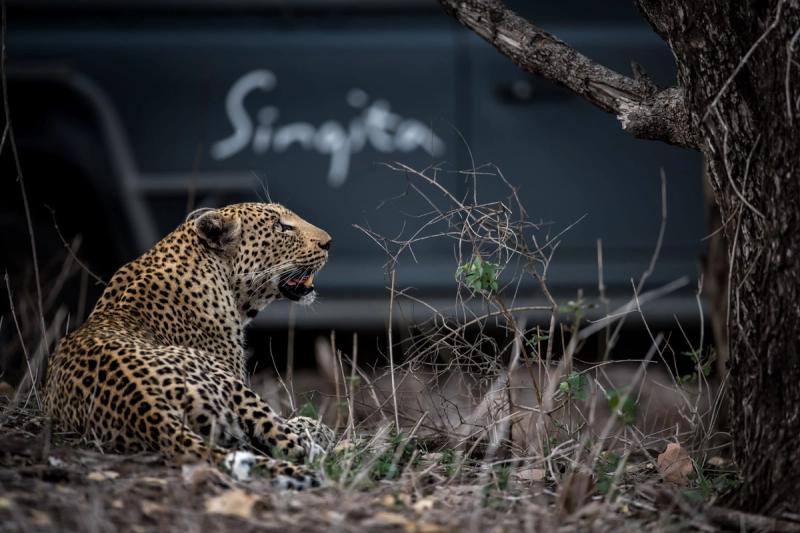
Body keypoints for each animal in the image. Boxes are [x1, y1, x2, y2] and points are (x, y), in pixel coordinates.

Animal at [44, 202, 335, 489]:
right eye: (281, 227)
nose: (329, 242)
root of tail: (145, 405)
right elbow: (299, 425)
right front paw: (319, 427)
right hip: (234, 387)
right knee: (292, 444)